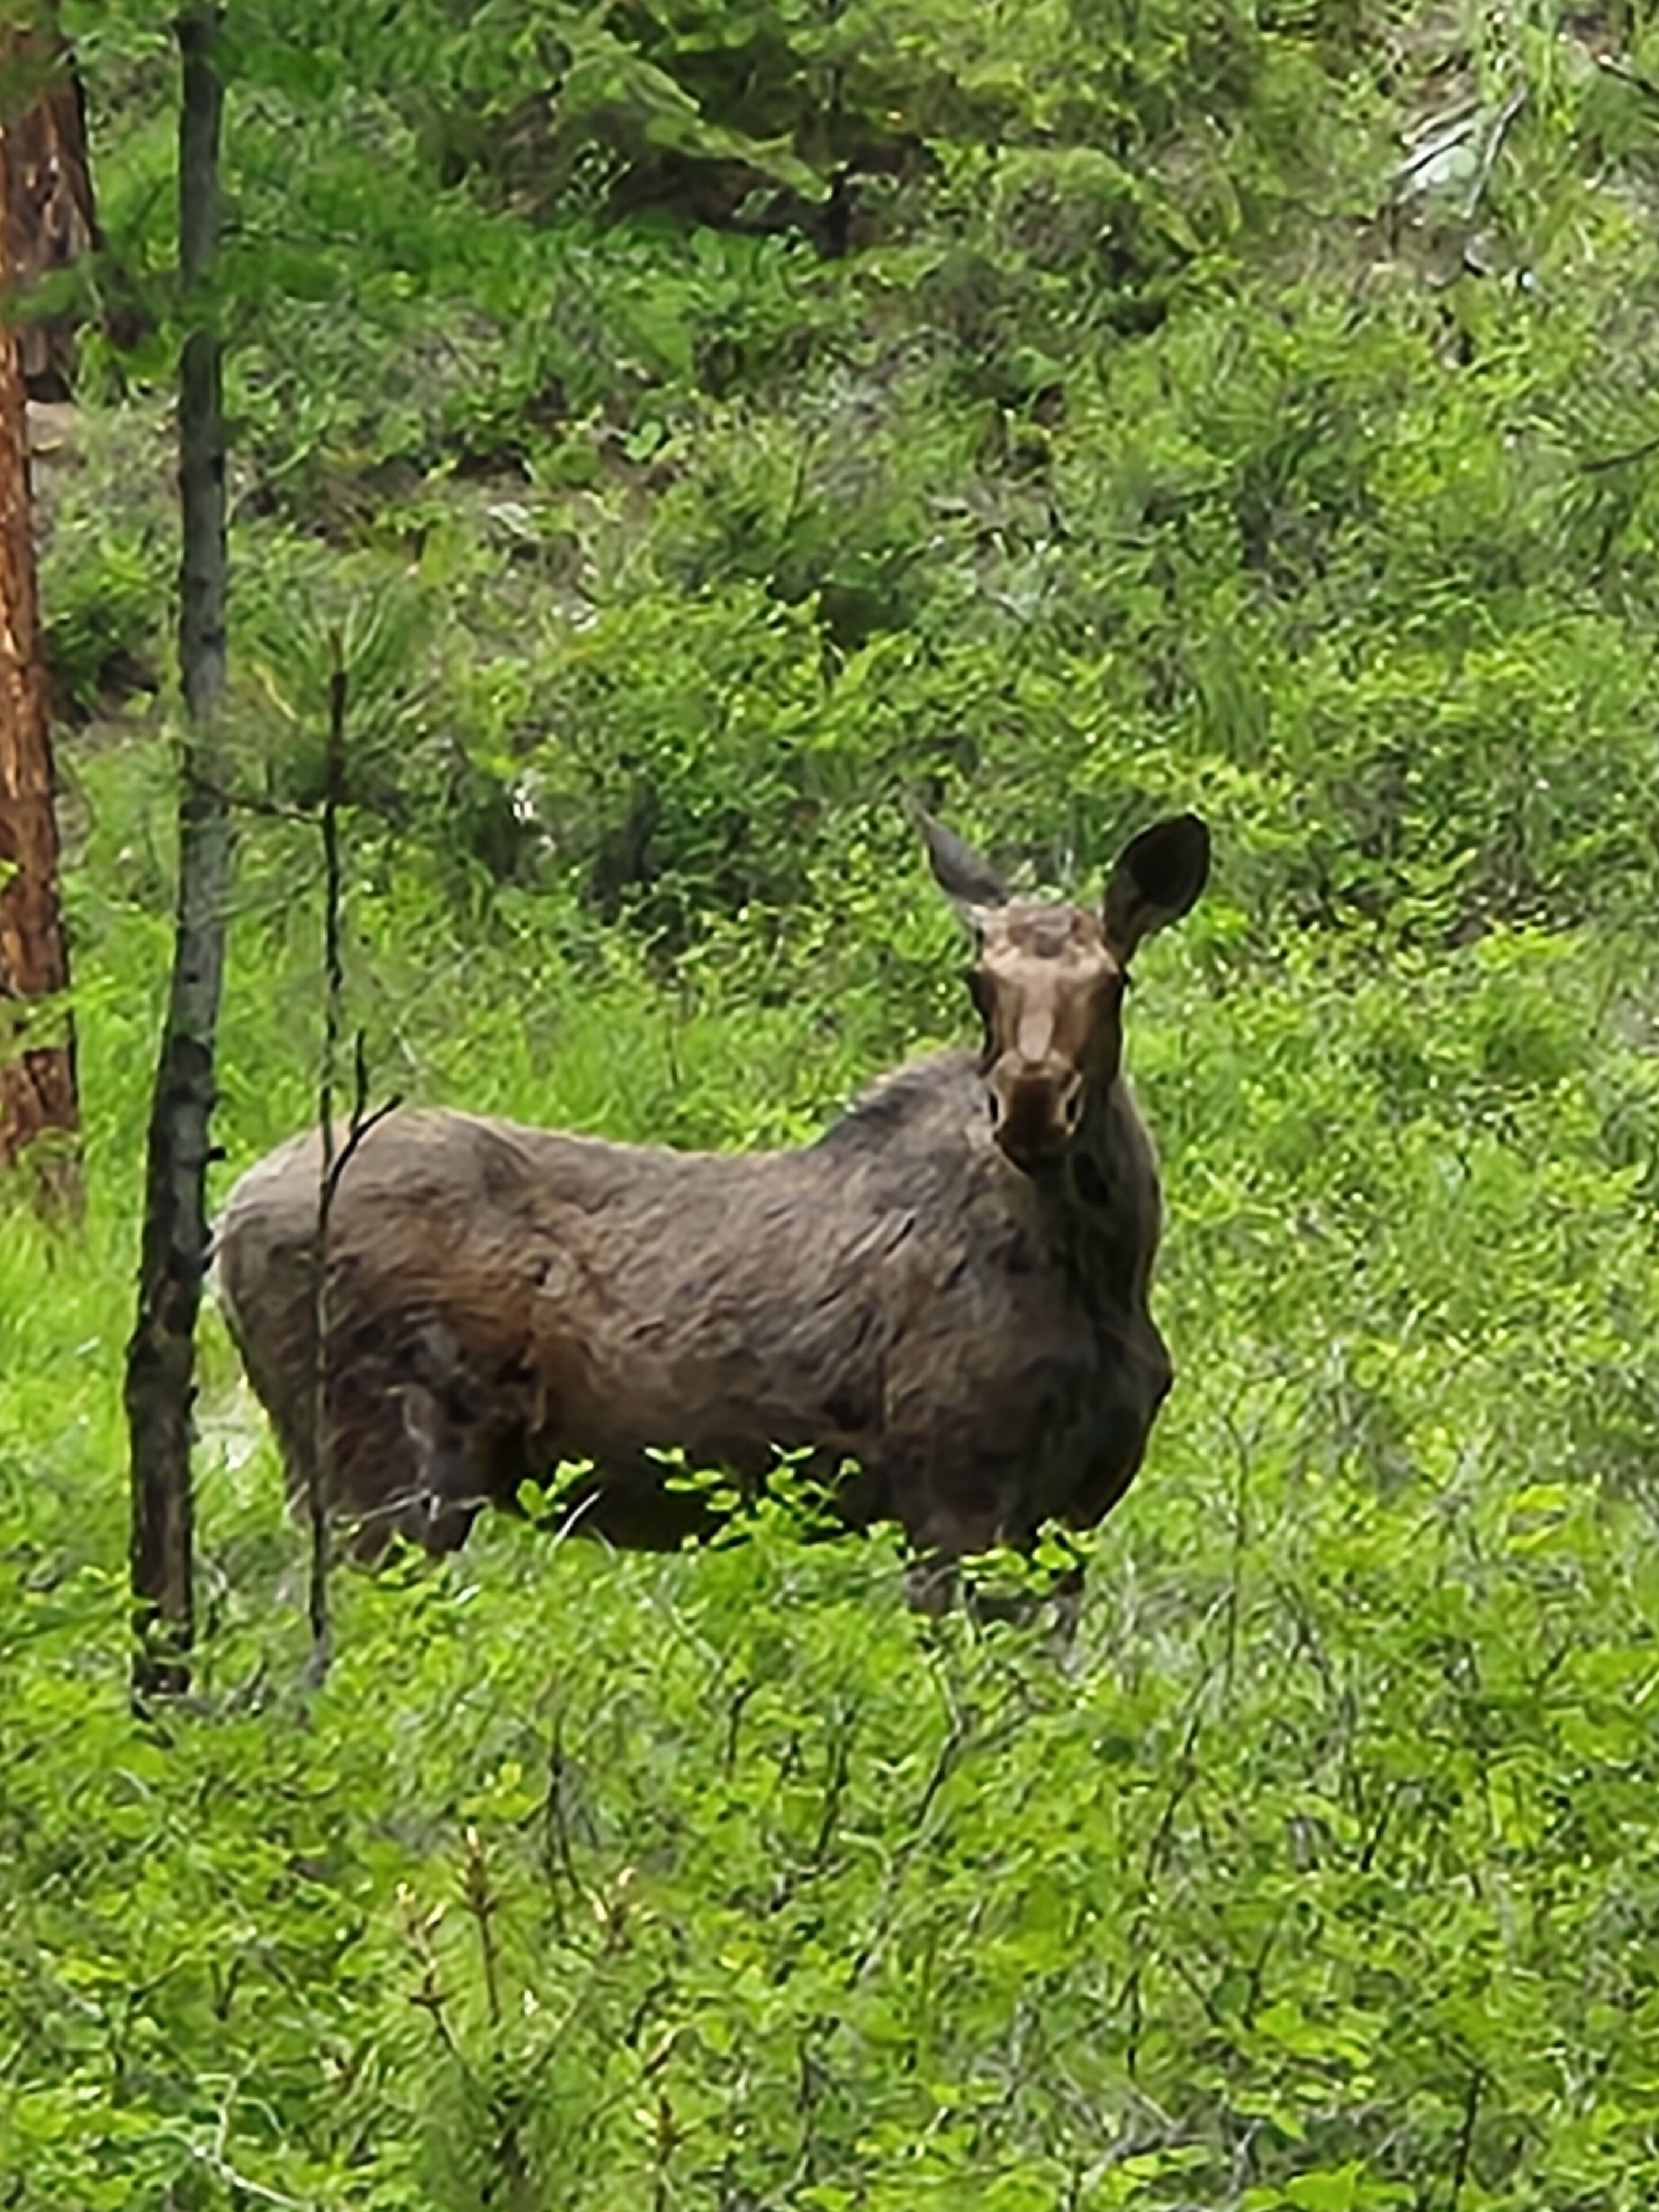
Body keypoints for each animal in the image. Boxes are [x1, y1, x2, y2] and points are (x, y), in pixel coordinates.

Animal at [212, 805, 1209, 1612]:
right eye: (978, 983)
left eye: (1113, 982)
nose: (1032, 1105)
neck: (1109, 1267)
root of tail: (226, 1222)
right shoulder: (951, 1494)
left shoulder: (1072, 1512)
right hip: (386, 1467)